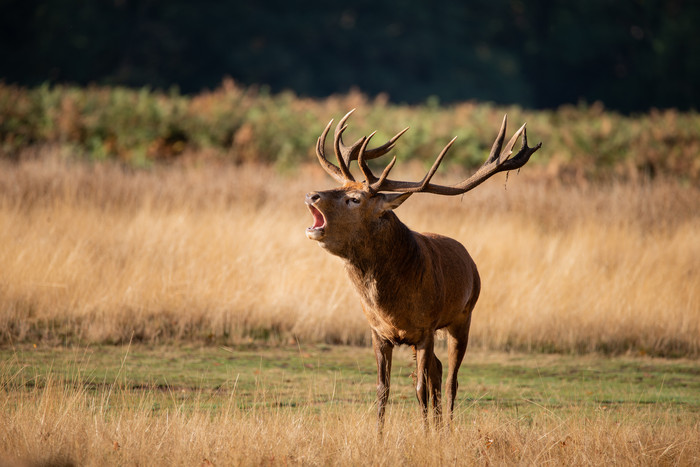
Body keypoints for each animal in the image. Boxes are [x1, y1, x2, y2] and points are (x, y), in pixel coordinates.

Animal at [304, 109, 540, 432]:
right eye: (341, 188)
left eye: (355, 199)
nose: (311, 195)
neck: (391, 305)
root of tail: (470, 260)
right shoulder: (378, 332)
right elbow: (383, 388)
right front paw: (380, 436)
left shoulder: (426, 329)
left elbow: (420, 388)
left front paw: (426, 434)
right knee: (437, 370)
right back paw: (440, 427)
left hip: (463, 316)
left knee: (451, 379)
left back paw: (447, 429)